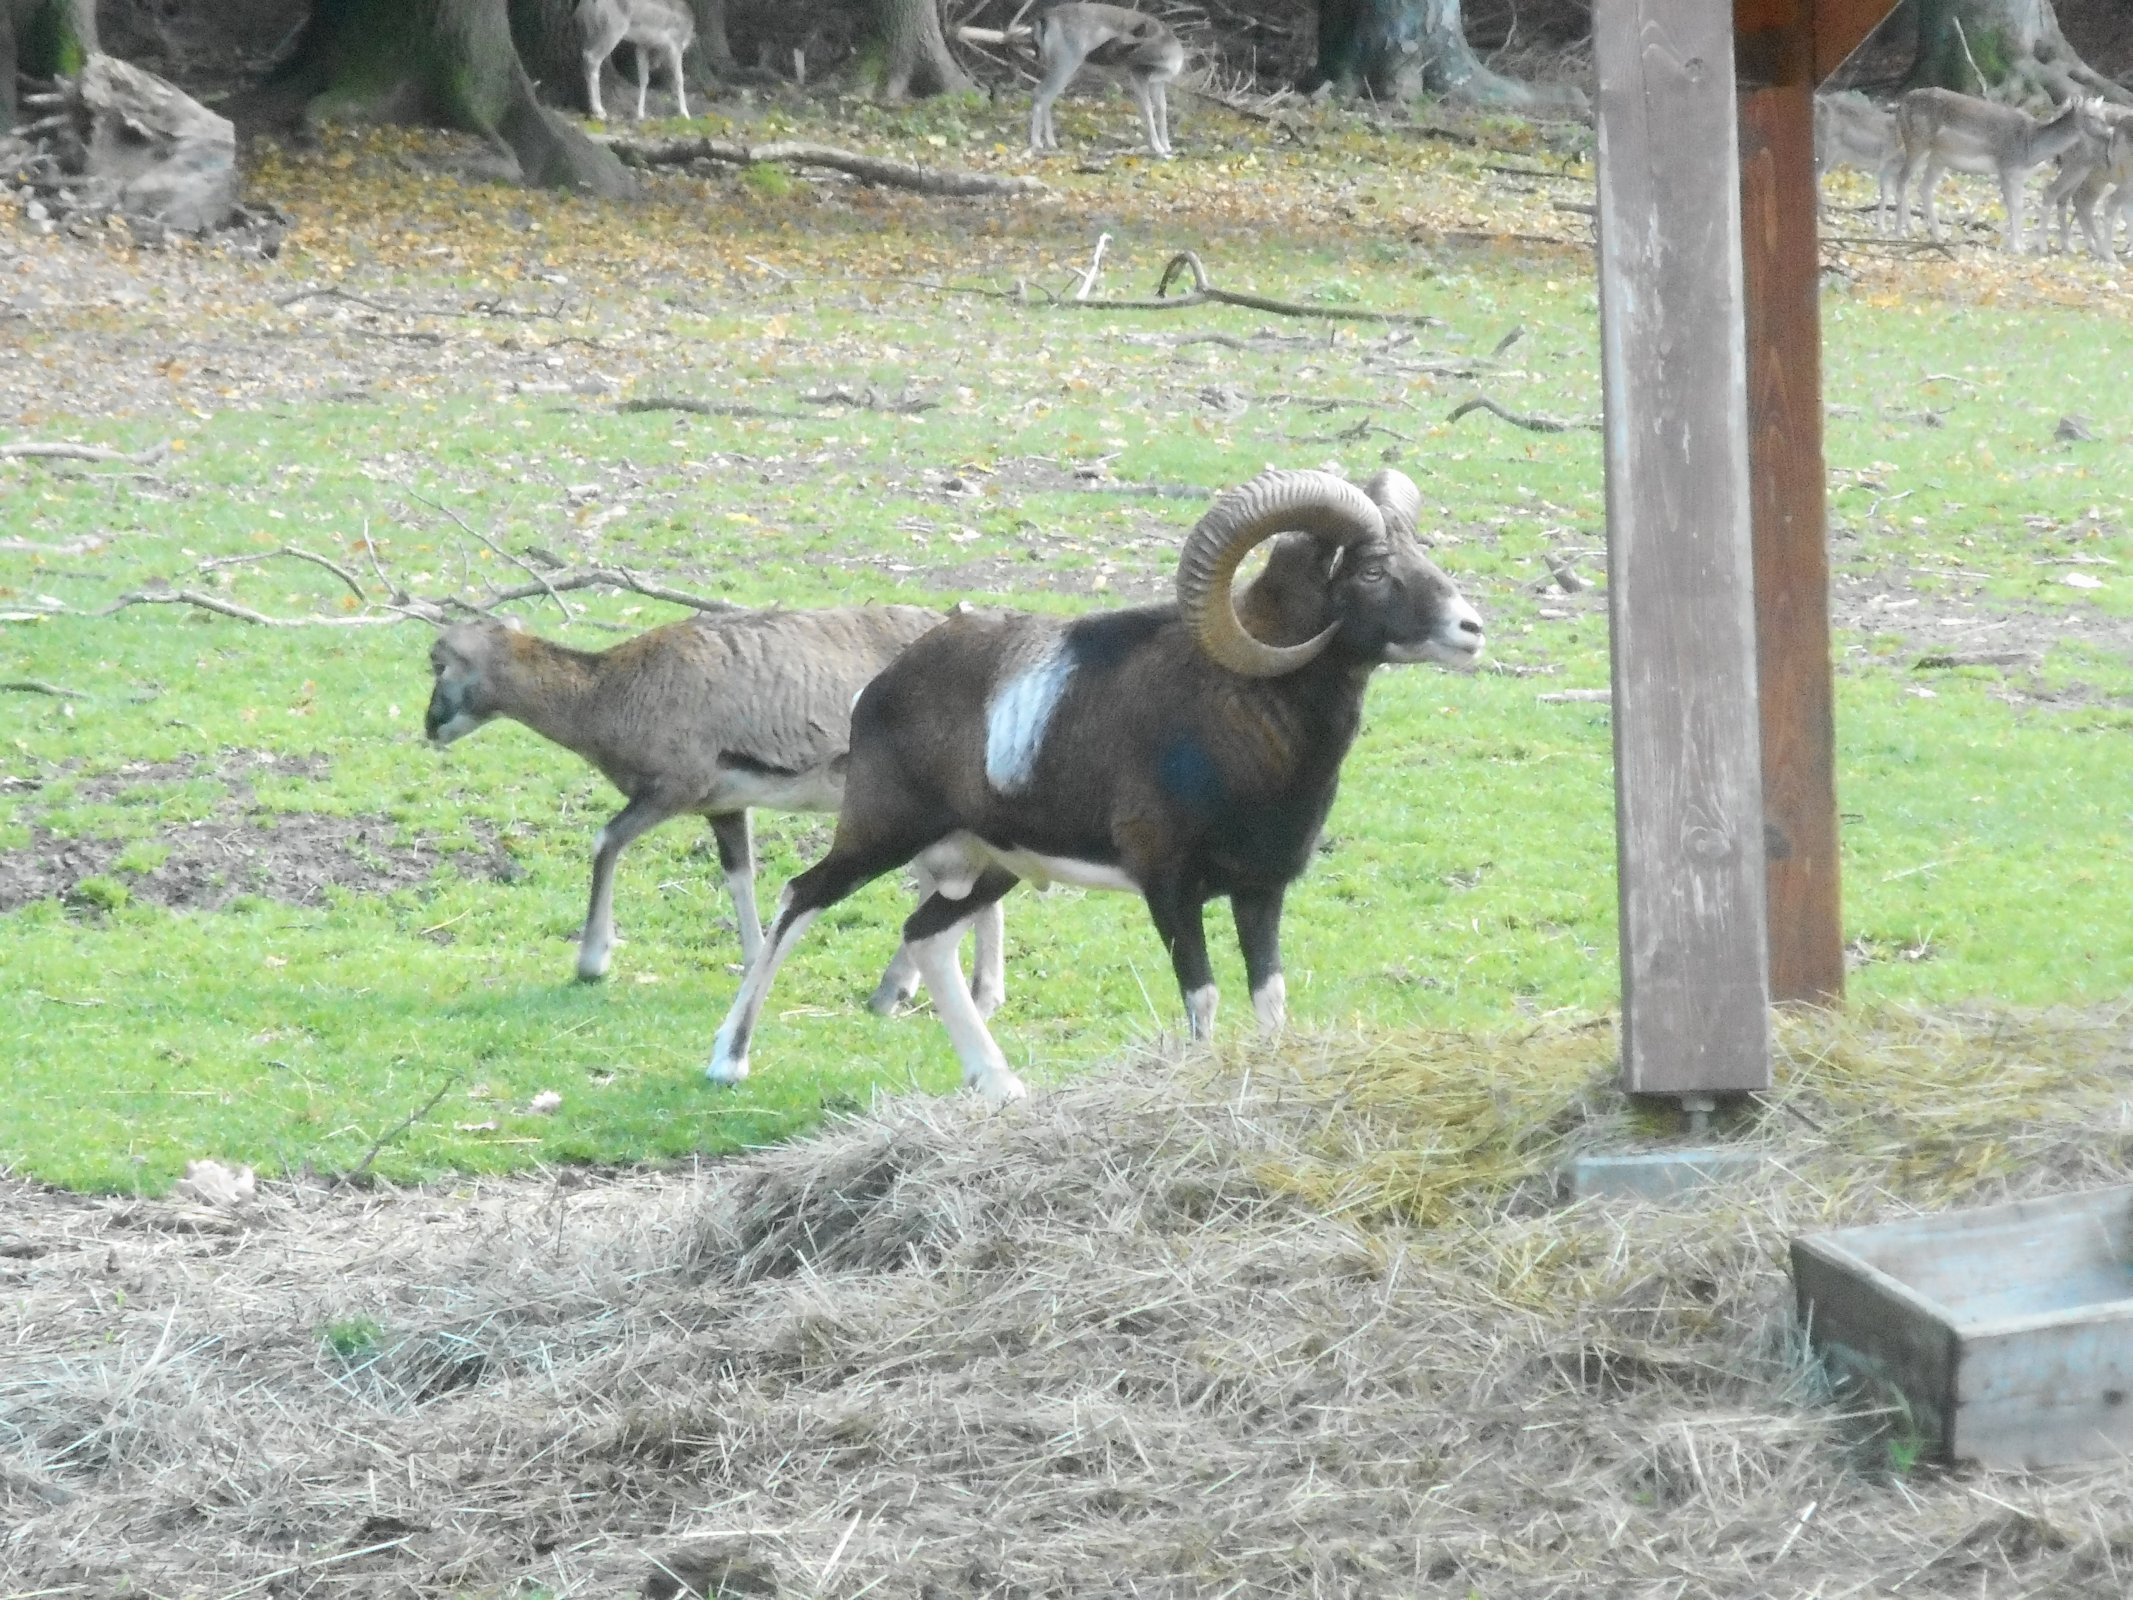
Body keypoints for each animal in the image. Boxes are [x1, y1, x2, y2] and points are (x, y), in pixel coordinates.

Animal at [424, 607, 1005, 1013]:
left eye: (439, 663)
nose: (430, 727)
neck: (609, 695)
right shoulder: (724, 809)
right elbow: (739, 876)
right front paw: (753, 963)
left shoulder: (672, 790)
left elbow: (606, 841)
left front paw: (592, 963)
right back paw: (950, 994)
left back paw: (922, 995)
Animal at [706, 467, 1485, 1104]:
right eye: (1374, 571)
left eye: (1420, 553)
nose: (1471, 629)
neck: (1237, 719)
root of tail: (877, 689)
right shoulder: (1170, 890)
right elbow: (1202, 999)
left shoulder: (1260, 892)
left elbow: (1269, 1001)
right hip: (880, 837)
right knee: (800, 899)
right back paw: (728, 1063)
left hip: (987, 869)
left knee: (925, 937)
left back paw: (999, 1086)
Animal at [1025, 3, 1185, 159]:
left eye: (1122, 44)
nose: (1096, 53)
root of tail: (1043, 19)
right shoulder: (1138, 74)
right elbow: (1148, 108)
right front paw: (1158, 147)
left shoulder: (1158, 81)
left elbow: (1162, 107)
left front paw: (1167, 146)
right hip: (1066, 58)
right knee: (1040, 92)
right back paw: (1037, 142)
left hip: (1056, 62)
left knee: (1047, 96)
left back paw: (1051, 142)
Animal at [1894, 88, 2106, 253]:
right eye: (2090, 116)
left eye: (2104, 116)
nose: (2108, 134)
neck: (2030, 148)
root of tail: (1902, 101)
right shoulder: (2004, 167)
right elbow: (2012, 206)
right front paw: (2015, 247)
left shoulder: (2019, 175)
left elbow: (2019, 207)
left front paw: (2019, 246)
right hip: (1917, 142)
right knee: (1902, 179)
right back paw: (1902, 229)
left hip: (1938, 158)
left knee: (1924, 187)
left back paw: (1937, 233)